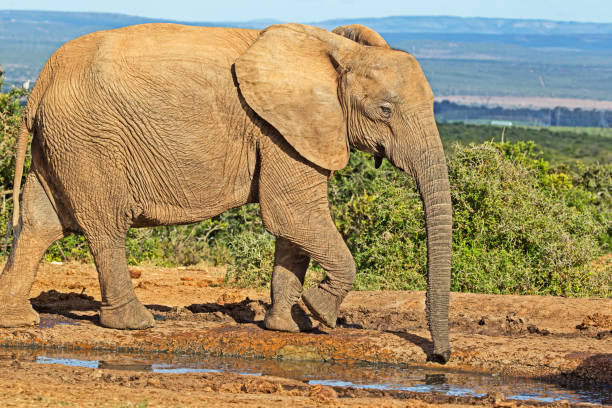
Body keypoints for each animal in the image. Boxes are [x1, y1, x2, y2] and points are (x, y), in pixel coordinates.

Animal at [1, 22, 454, 362]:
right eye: (385, 111)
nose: (439, 358)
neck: (337, 51)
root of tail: (39, 82)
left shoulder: (294, 132)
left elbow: (293, 228)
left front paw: (288, 326)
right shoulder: (278, 129)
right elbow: (292, 214)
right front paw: (319, 313)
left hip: (61, 141)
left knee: (39, 223)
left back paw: (17, 319)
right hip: (90, 141)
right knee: (105, 227)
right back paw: (136, 323)